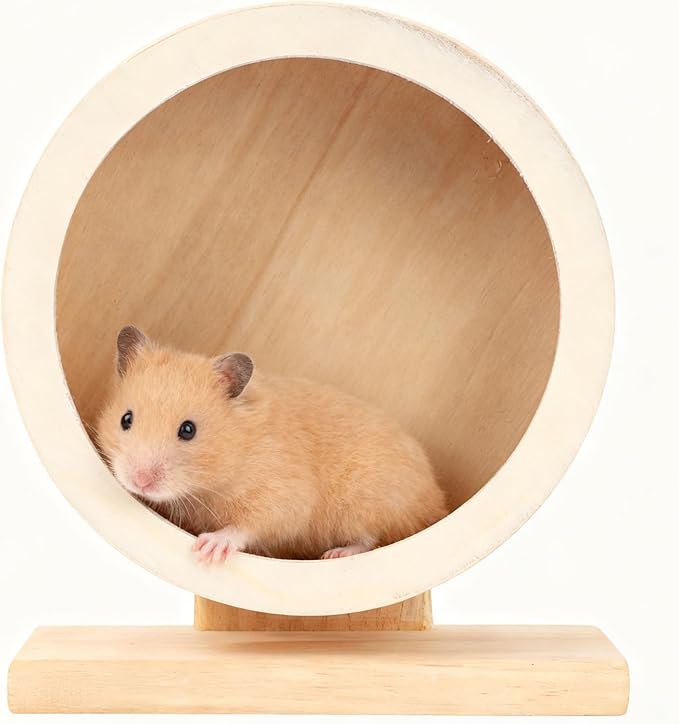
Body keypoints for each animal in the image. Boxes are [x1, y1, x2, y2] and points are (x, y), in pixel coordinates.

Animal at [96, 326, 448, 562]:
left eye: (188, 430)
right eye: (126, 419)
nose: (140, 481)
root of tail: (435, 499)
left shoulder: (283, 496)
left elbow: (252, 525)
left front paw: (209, 549)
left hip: (368, 502)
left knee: (371, 538)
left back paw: (336, 554)